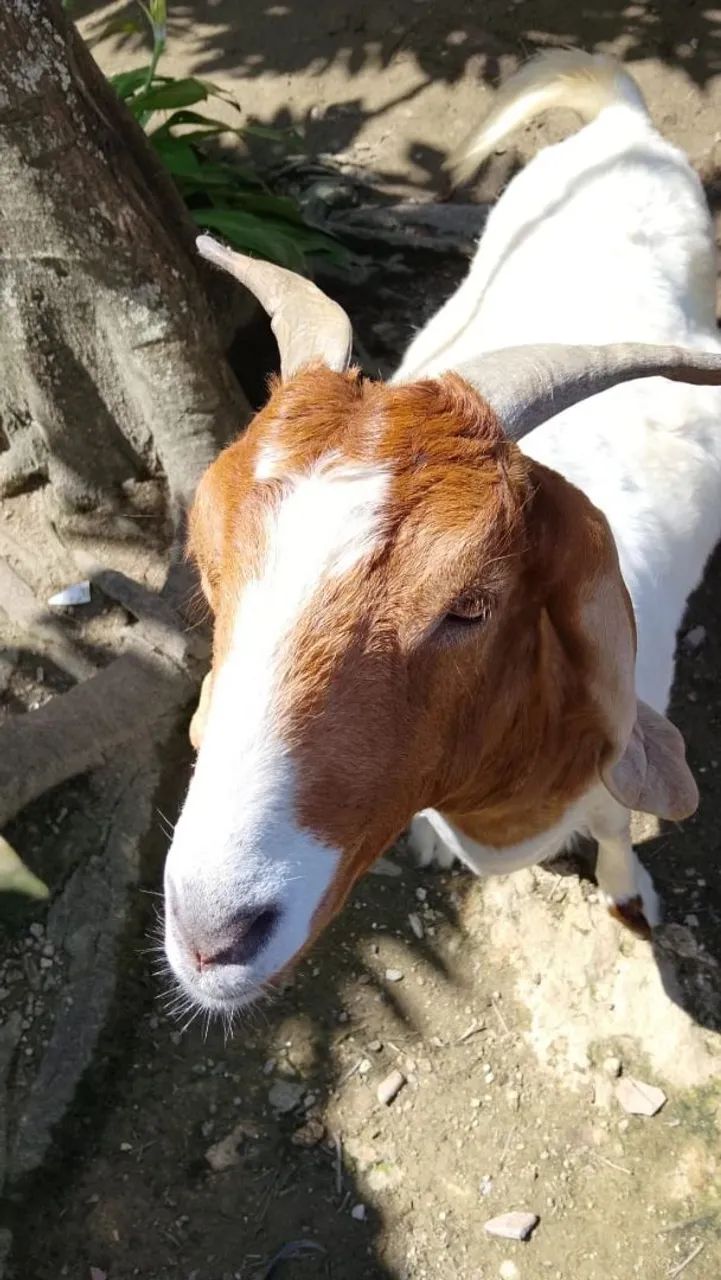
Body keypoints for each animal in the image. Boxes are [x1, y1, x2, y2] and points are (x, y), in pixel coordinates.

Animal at [163, 51, 721, 1015]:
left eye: (469, 605)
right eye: (208, 569)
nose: (211, 938)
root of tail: (625, 125)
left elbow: (616, 824)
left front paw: (629, 896)